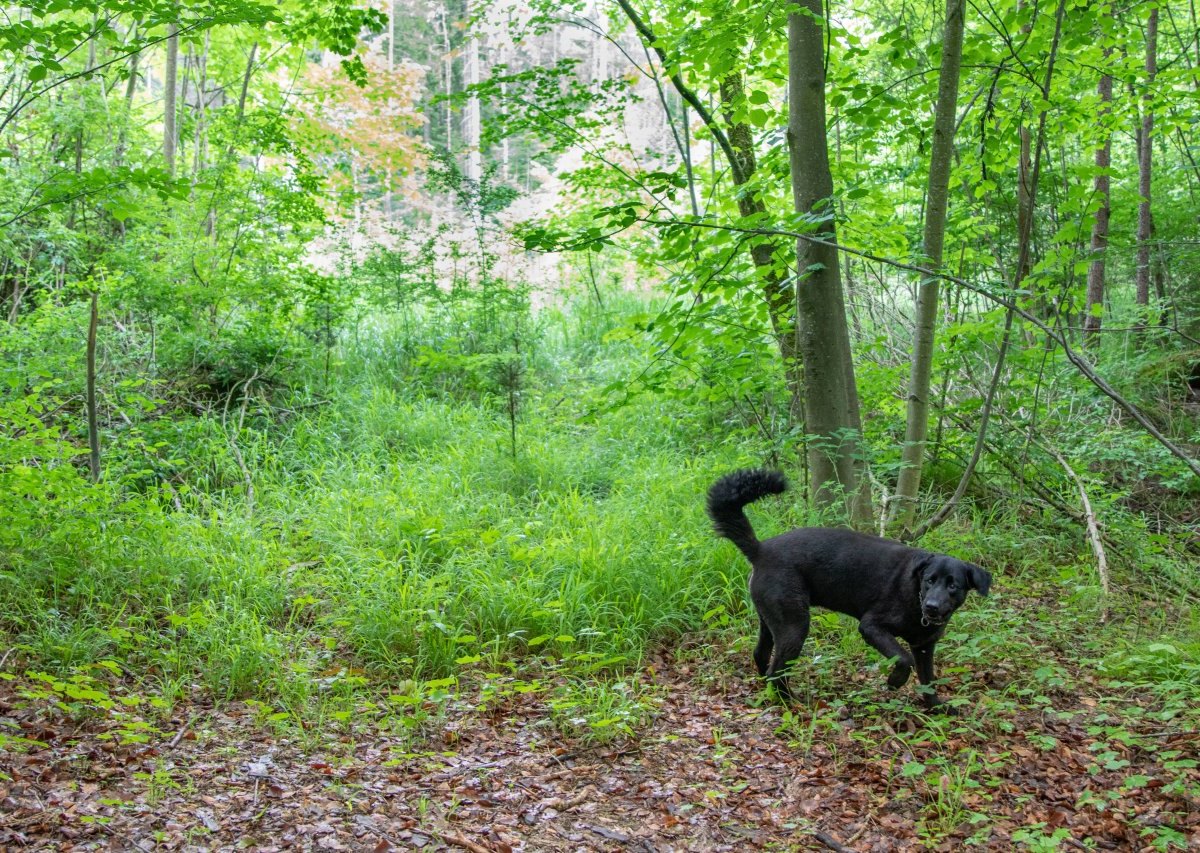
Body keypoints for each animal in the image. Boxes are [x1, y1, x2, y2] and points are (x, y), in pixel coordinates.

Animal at [705, 470, 988, 710]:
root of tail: (760, 549)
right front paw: (894, 682)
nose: (932, 606)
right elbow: (903, 658)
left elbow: (929, 680)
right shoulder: (872, 626)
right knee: (778, 670)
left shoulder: (925, 646)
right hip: (794, 625)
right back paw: (790, 702)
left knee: (762, 656)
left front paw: (937, 708)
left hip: (771, 620)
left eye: (953, 585)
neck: (915, 599)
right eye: (929, 580)